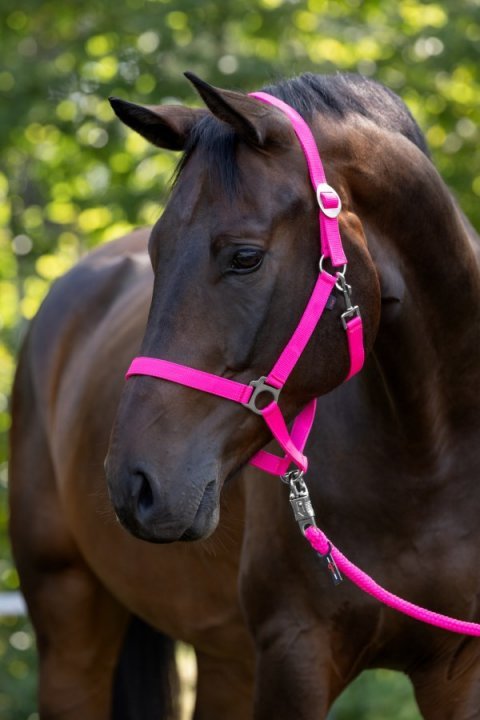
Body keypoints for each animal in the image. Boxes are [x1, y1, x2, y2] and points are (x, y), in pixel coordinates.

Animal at [9, 70, 480, 719]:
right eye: (156, 252)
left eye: (245, 257)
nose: (134, 484)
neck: (430, 456)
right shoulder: (293, 653)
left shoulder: (459, 669)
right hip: (71, 631)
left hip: (224, 658)